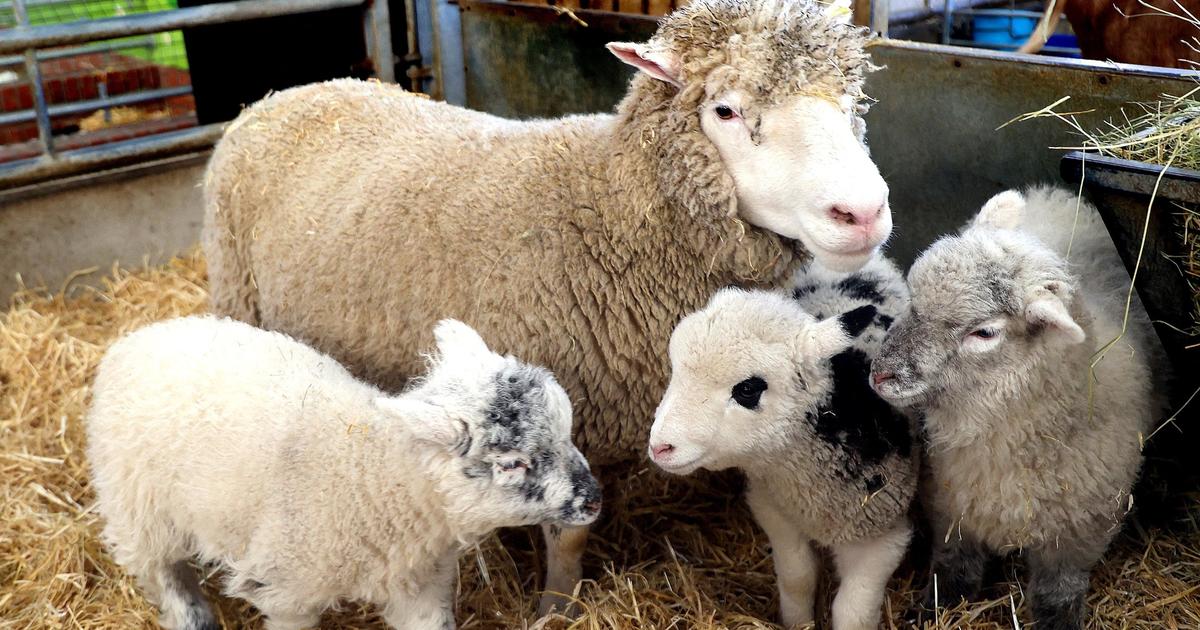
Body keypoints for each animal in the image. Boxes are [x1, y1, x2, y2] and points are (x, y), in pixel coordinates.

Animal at [87, 314, 600, 628]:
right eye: (513, 464)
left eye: (566, 427)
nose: (594, 498)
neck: (375, 476)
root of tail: (142, 334)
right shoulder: (286, 588)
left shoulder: (419, 585)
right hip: (138, 507)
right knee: (162, 574)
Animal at [201, 0, 892, 612]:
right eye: (725, 110)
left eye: (850, 103)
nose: (862, 213)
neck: (608, 218)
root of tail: (288, 92)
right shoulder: (560, 417)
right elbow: (569, 534)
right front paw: (556, 605)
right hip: (237, 291)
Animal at [648, 253, 916, 624]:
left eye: (747, 389)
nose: (660, 447)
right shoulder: (775, 511)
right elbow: (797, 578)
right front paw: (798, 622)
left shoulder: (883, 537)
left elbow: (852, 613)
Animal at [873, 187, 1161, 628]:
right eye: (913, 302)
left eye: (984, 333)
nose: (879, 373)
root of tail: (1064, 198)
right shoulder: (952, 509)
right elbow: (953, 566)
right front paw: (931, 609)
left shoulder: (1078, 534)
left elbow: (1058, 589)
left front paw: (1058, 620)